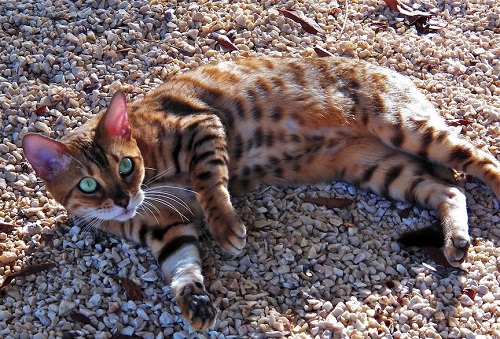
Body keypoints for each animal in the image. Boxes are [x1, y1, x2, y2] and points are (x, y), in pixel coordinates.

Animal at [21, 57, 498, 330]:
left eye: (126, 165)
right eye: (88, 185)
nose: (123, 199)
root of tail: (393, 72)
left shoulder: (200, 125)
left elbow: (209, 182)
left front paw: (227, 227)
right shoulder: (167, 230)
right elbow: (181, 266)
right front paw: (195, 301)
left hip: (405, 126)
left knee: (482, 161)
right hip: (380, 169)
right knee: (450, 190)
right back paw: (455, 240)